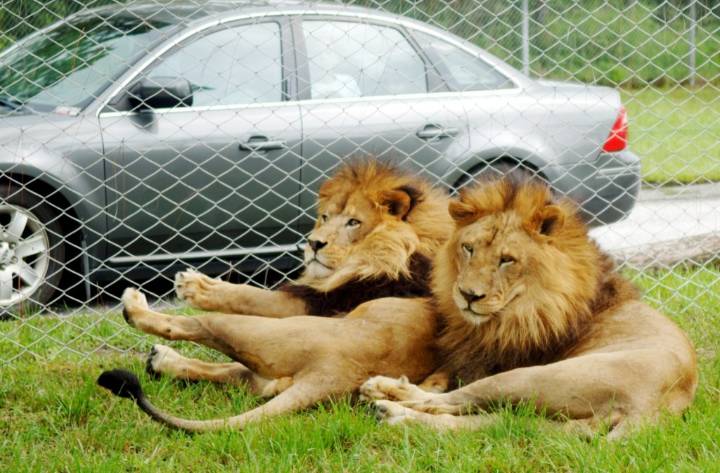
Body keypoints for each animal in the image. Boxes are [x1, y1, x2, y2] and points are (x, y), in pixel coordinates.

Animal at [360, 177, 698, 439]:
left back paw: (389, 400)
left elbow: (446, 384)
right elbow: (444, 374)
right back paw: (396, 412)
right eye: (468, 248)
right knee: (494, 422)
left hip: (534, 377)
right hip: (557, 424)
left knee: (449, 401)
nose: (468, 295)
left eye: (506, 260)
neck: (525, 305)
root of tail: (652, 410)